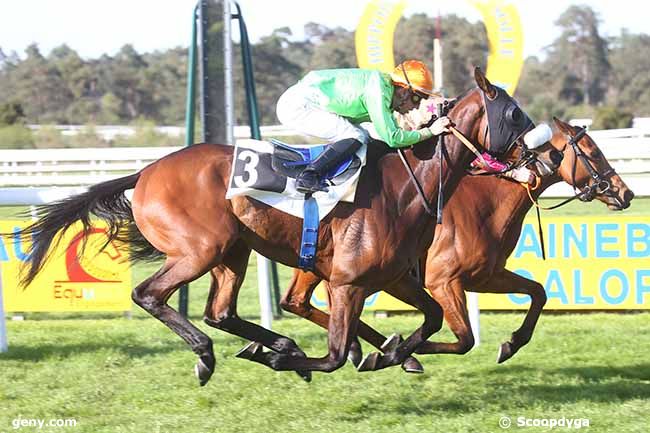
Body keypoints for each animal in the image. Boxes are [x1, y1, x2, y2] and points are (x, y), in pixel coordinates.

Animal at [17, 68, 528, 384]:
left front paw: (394, 354)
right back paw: (210, 354)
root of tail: (144, 173)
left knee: (220, 311)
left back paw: (274, 343)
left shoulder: (395, 277)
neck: (407, 184)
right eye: (515, 114)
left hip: (232, 252)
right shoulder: (347, 283)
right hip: (200, 249)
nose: (535, 159)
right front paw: (319, 358)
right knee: (150, 295)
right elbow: (334, 356)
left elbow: (435, 319)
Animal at [276, 117, 632, 372]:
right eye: (594, 152)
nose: (625, 193)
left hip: (316, 263)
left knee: (296, 302)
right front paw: (398, 351)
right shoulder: (443, 282)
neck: (488, 201)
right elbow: (465, 339)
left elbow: (538, 292)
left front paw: (512, 343)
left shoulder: (485, 276)